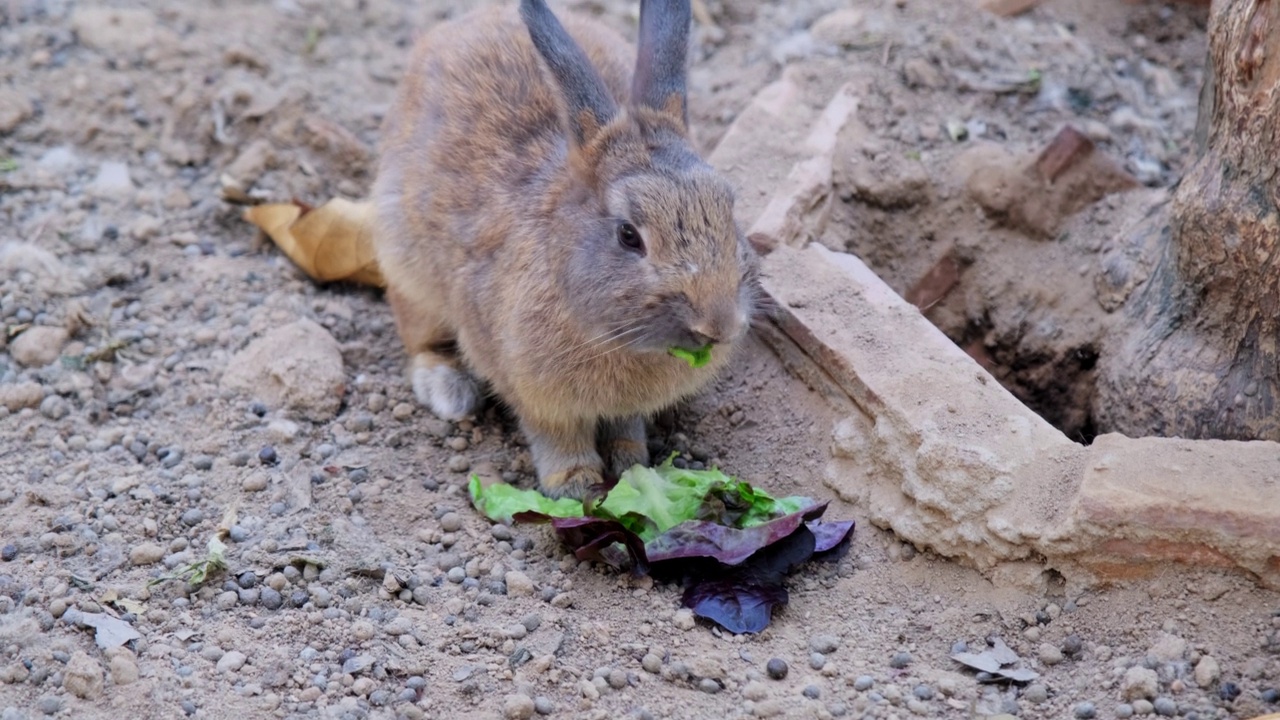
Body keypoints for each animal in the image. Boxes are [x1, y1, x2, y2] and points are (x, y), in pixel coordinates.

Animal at [371, 0, 757, 497]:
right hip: (407, 270)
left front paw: (631, 462)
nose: (718, 325)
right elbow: (555, 434)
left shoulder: (625, 404)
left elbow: (625, 424)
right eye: (628, 235)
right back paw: (448, 390)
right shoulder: (531, 389)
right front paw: (574, 485)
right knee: (421, 339)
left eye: (730, 207)